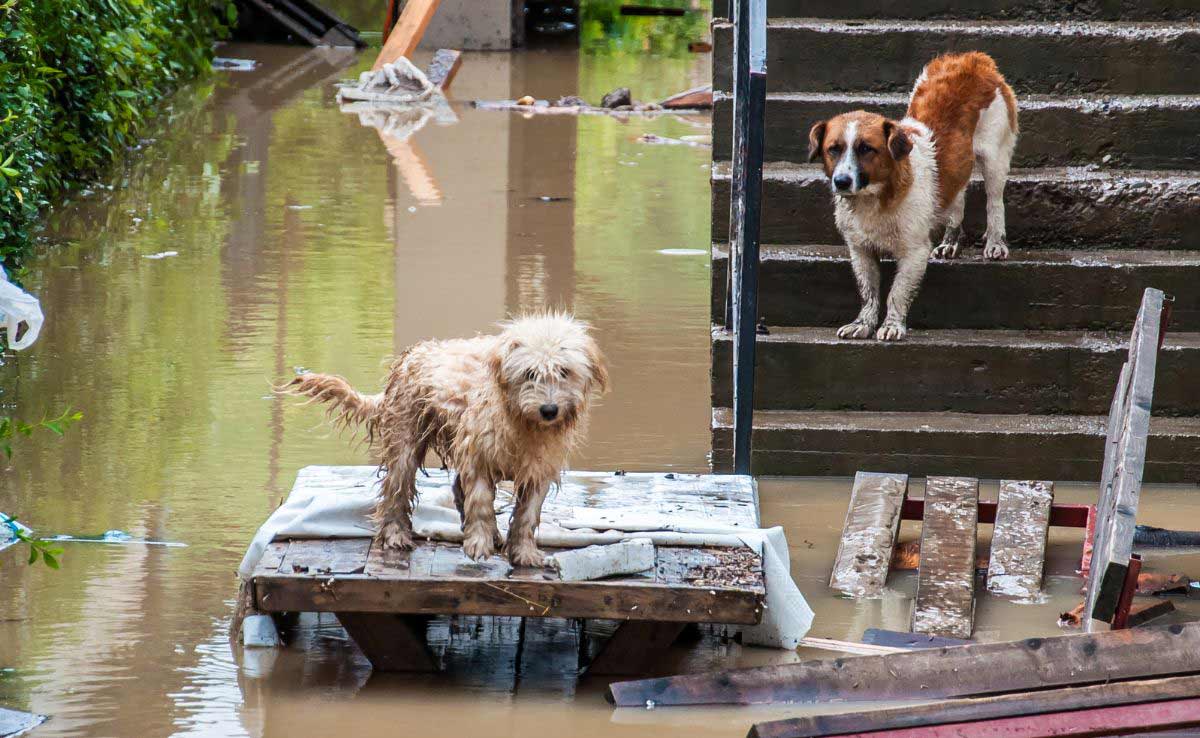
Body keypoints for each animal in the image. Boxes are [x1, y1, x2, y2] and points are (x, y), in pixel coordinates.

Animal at [288, 312, 609, 566]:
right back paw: (395, 534)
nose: (549, 409)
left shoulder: (538, 469)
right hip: (405, 441)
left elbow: (528, 514)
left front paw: (524, 552)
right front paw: (478, 543)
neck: (520, 420)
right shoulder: (477, 453)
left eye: (564, 372)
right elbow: (480, 501)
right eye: (530, 374)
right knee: (397, 489)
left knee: (455, 487)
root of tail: (409, 357)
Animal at [811, 51, 1017, 340]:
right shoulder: (860, 250)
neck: (875, 200)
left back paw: (996, 243)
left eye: (866, 149)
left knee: (994, 203)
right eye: (834, 149)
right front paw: (863, 323)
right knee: (957, 197)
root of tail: (973, 59)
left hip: (995, 157)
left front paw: (891, 325)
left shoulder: (915, 252)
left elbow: (897, 292)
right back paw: (951, 241)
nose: (841, 182)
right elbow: (868, 291)